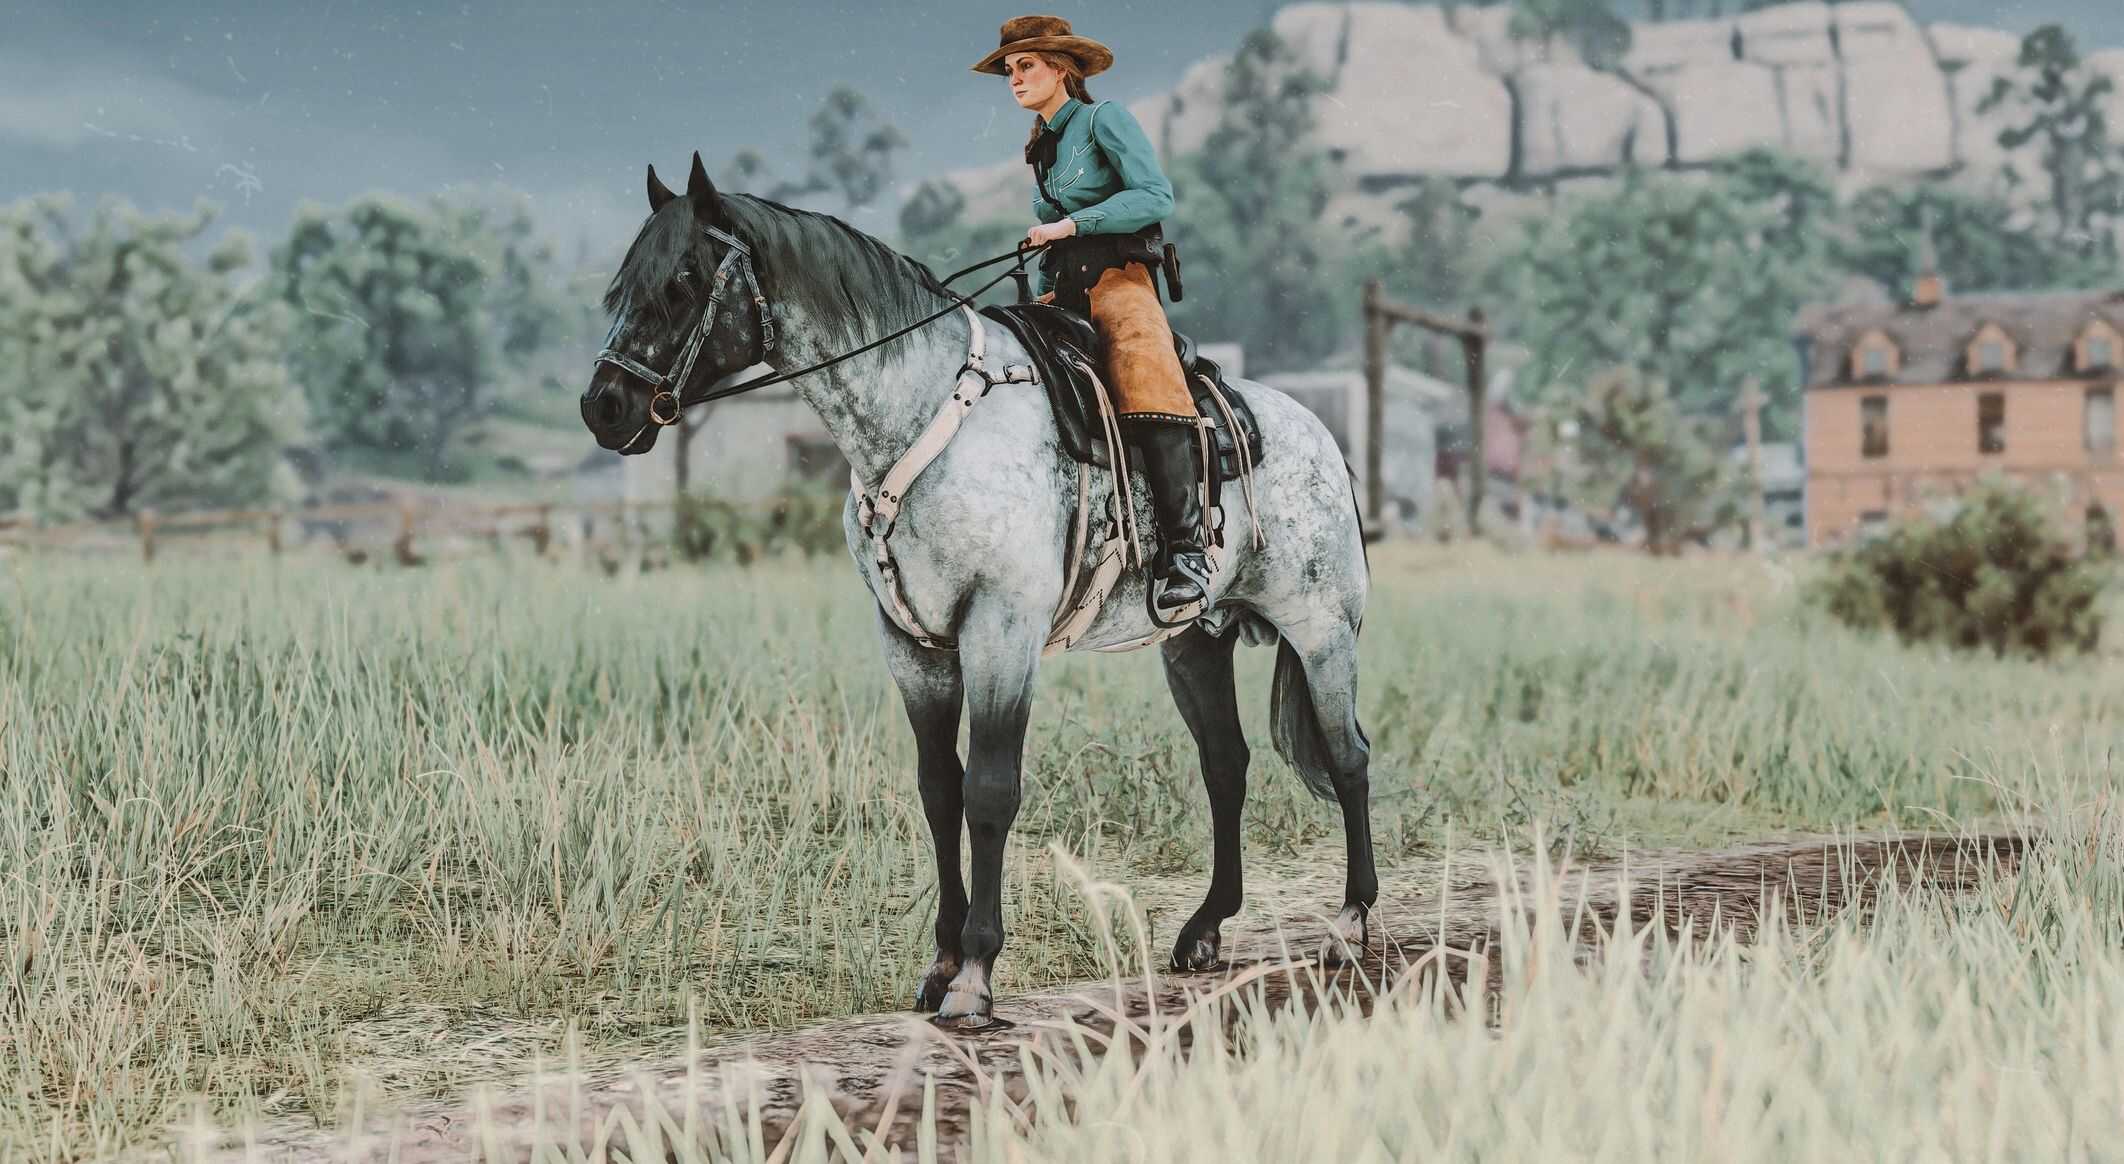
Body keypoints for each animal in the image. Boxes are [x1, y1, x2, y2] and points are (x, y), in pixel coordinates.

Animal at [581, 152, 1376, 1029]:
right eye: (625, 284)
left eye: (684, 280)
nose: (603, 406)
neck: (922, 417)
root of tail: (1318, 435)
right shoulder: (913, 645)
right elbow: (940, 792)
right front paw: (939, 962)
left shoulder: (1001, 630)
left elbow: (991, 790)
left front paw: (976, 973)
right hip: (1195, 644)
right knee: (1226, 765)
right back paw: (1204, 930)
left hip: (1321, 629)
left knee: (1348, 755)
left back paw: (1351, 922)